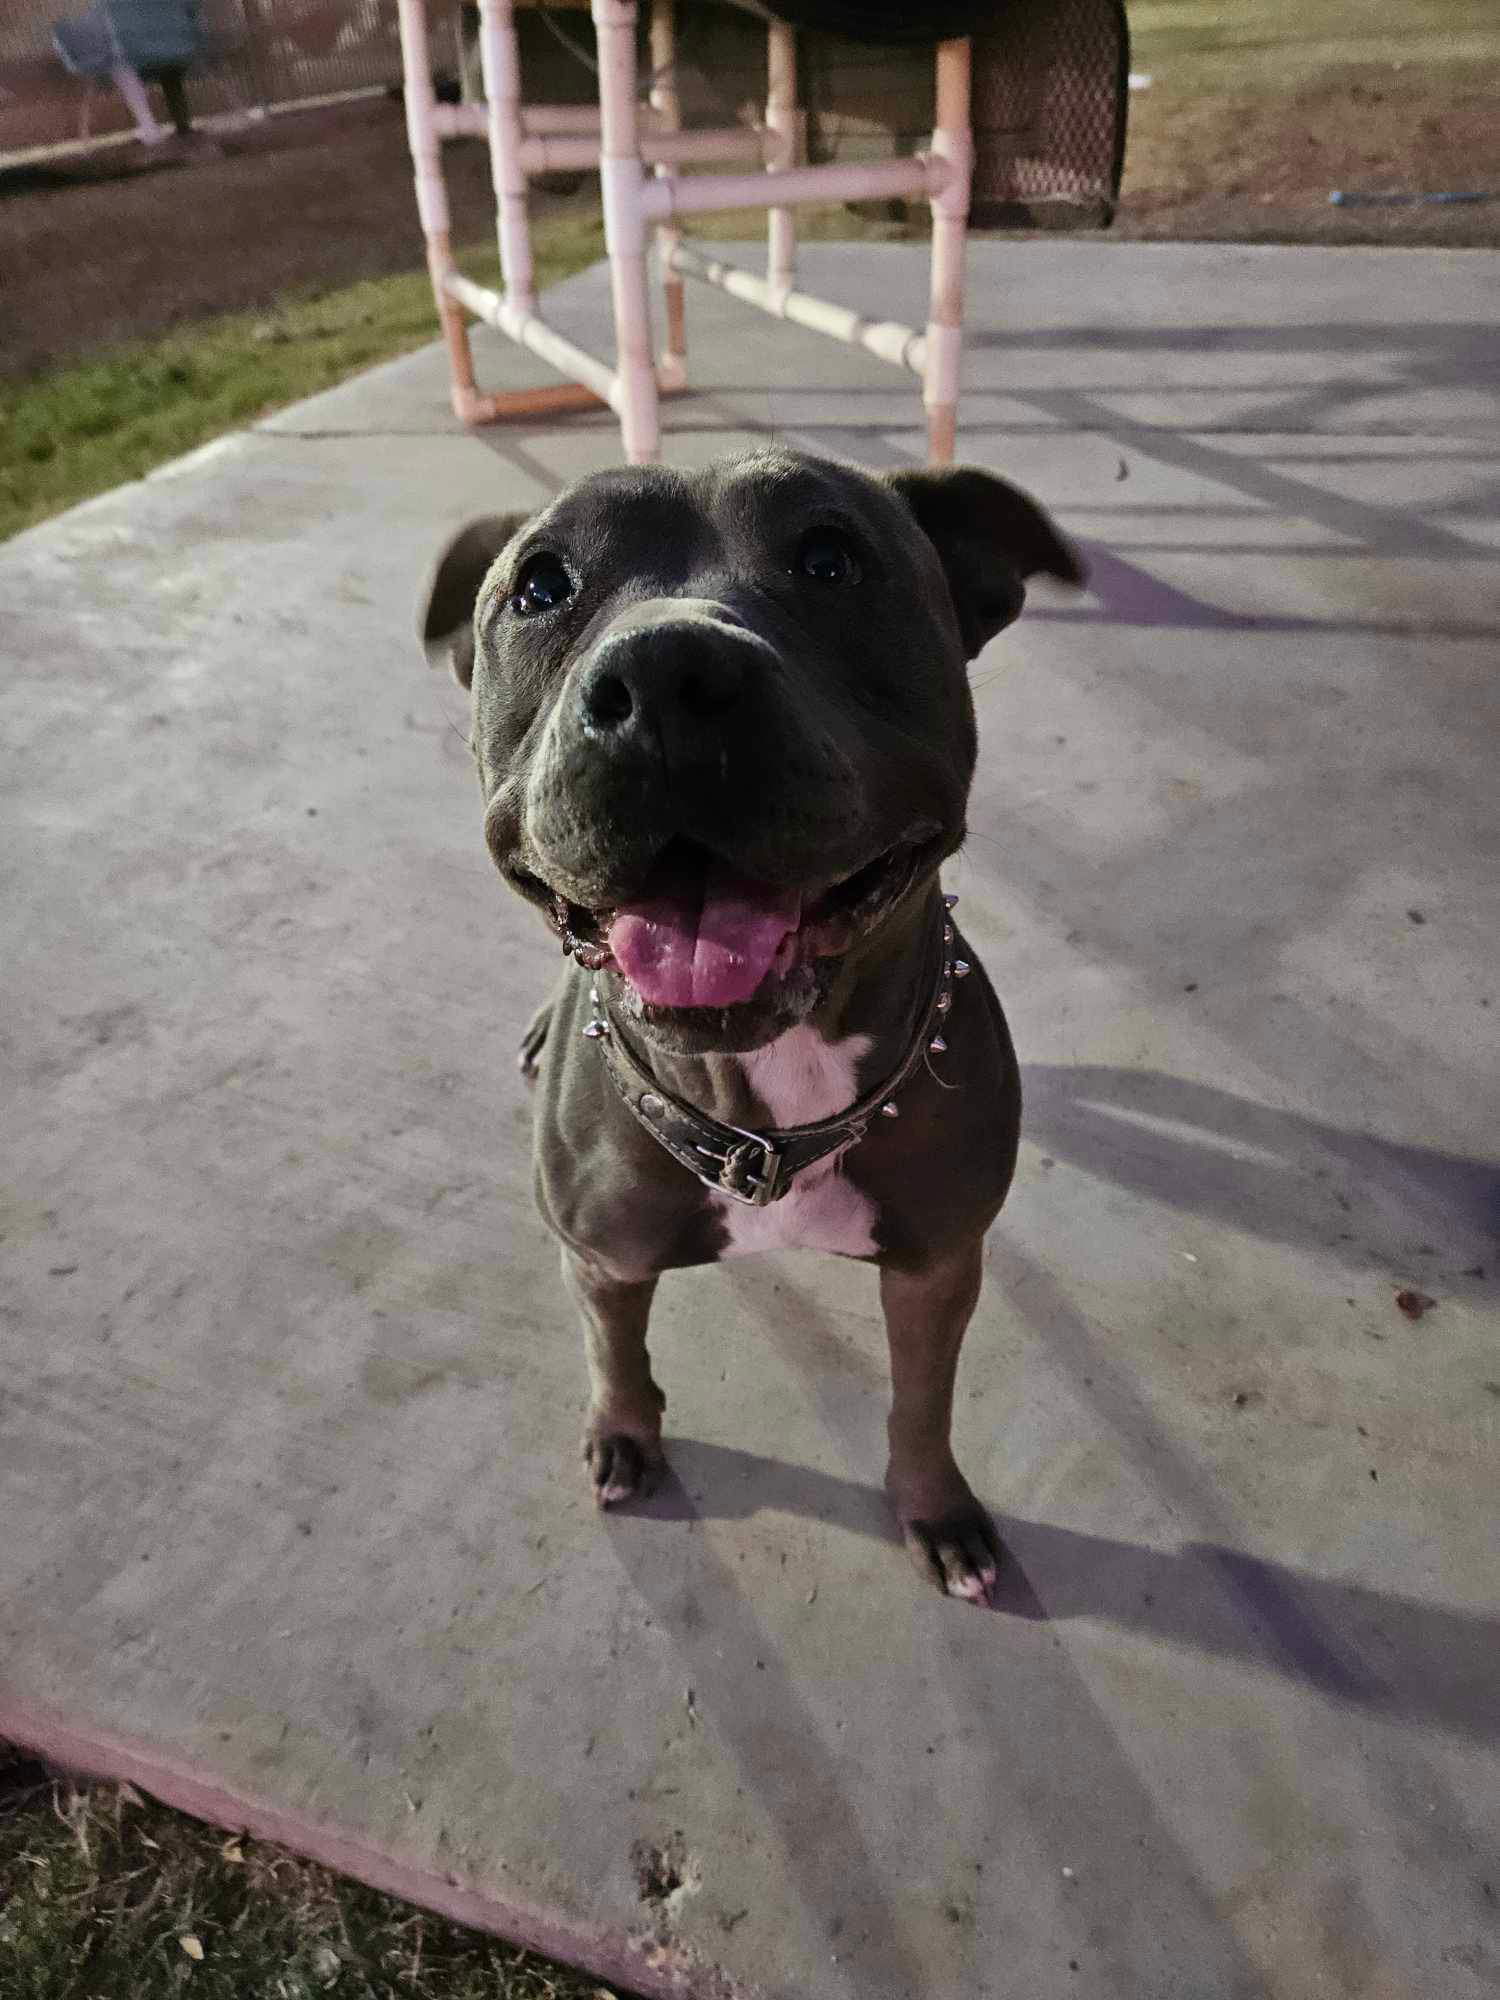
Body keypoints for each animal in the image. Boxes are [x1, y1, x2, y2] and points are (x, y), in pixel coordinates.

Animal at [424, 446, 1080, 1600]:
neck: (761, 1117)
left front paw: (935, 1508)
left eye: (831, 558)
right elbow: (613, 1353)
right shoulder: (600, 1258)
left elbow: (923, 1403)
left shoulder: (938, 1268)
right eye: (540, 585)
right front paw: (623, 1433)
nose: (665, 679)